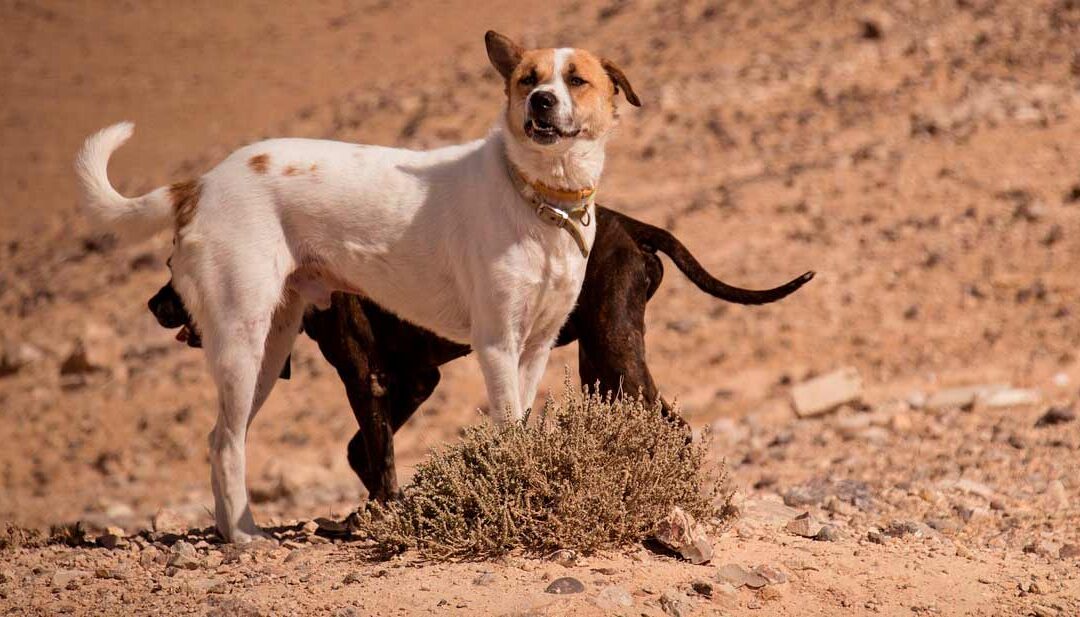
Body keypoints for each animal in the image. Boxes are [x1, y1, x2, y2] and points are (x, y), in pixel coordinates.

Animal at [78, 31, 639, 542]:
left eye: (576, 80)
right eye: (528, 79)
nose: (541, 101)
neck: (539, 197)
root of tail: (202, 183)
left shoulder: (536, 346)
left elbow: (520, 424)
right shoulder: (497, 344)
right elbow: (505, 430)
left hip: (271, 348)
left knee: (220, 434)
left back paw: (233, 529)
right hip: (241, 339)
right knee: (226, 442)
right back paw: (243, 538)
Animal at [150, 207, 812, 501]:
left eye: (181, 266)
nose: (155, 304)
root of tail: (627, 222)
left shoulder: (365, 376)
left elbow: (376, 448)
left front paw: (384, 510)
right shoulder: (414, 378)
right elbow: (365, 447)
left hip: (612, 354)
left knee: (672, 423)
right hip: (600, 365)